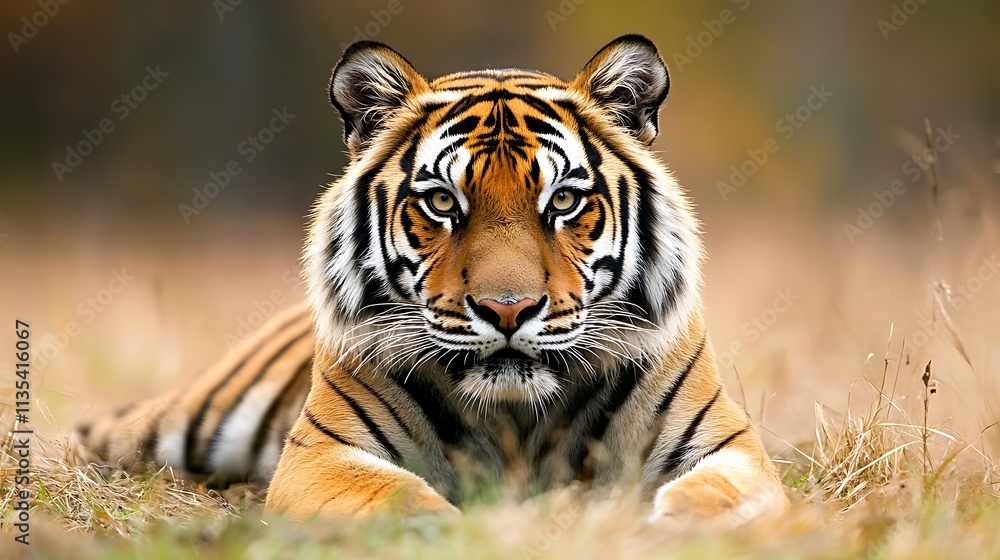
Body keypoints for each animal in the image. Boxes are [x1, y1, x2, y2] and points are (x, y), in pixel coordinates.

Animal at [74, 34, 788, 526]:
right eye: (443, 202)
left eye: (562, 200)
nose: (508, 310)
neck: (515, 417)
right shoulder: (321, 456)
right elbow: (397, 499)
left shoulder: (731, 451)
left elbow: (717, 497)